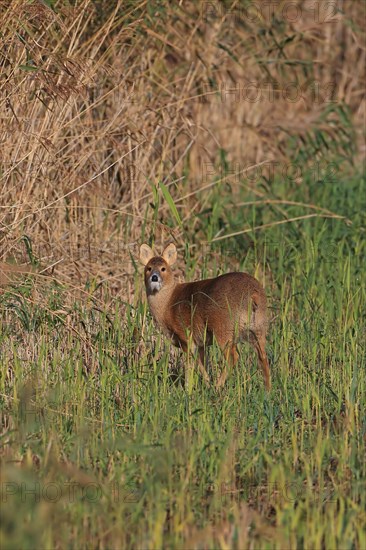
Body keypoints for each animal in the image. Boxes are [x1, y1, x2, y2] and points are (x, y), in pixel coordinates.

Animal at [139, 244, 270, 390]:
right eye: (149, 268)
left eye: (163, 268)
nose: (154, 277)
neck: (168, 305)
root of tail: (253, 295)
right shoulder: (200, 342)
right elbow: (201, 365)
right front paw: (206, 384)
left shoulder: (186, 336)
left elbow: (189, 365)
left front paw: (188, 389)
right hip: (259, 327)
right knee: (263, 357)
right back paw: (268, 390)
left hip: (223, 328)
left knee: (233, 357)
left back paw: (218, 386)